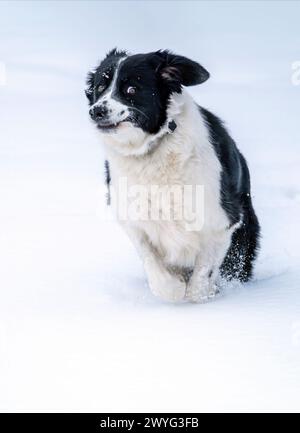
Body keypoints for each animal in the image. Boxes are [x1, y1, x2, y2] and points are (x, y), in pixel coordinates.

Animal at [85, 49, 260, 302]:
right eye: (100, 87)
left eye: (131, 89)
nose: (96, 111)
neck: (153, 148)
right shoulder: (133, 218)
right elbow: (153, 266)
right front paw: (173, 289)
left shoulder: (222, 220)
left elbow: (203, 274)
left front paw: (199, 295)